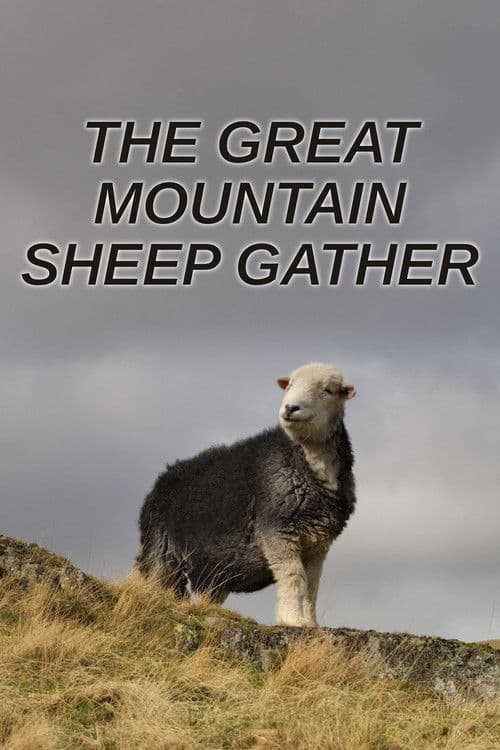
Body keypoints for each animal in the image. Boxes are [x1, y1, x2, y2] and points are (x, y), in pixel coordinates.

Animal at [136, 362, 356, 627]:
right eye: (290, 385)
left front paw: (311, 624)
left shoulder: (318, 543)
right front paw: (293, 620)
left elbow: (311, 584)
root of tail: (163, 477)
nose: (290, 408)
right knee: (154, 580)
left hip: (212, 569)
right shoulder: (276, 530)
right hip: (160, 548)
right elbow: (293, 576)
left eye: (328, 390)